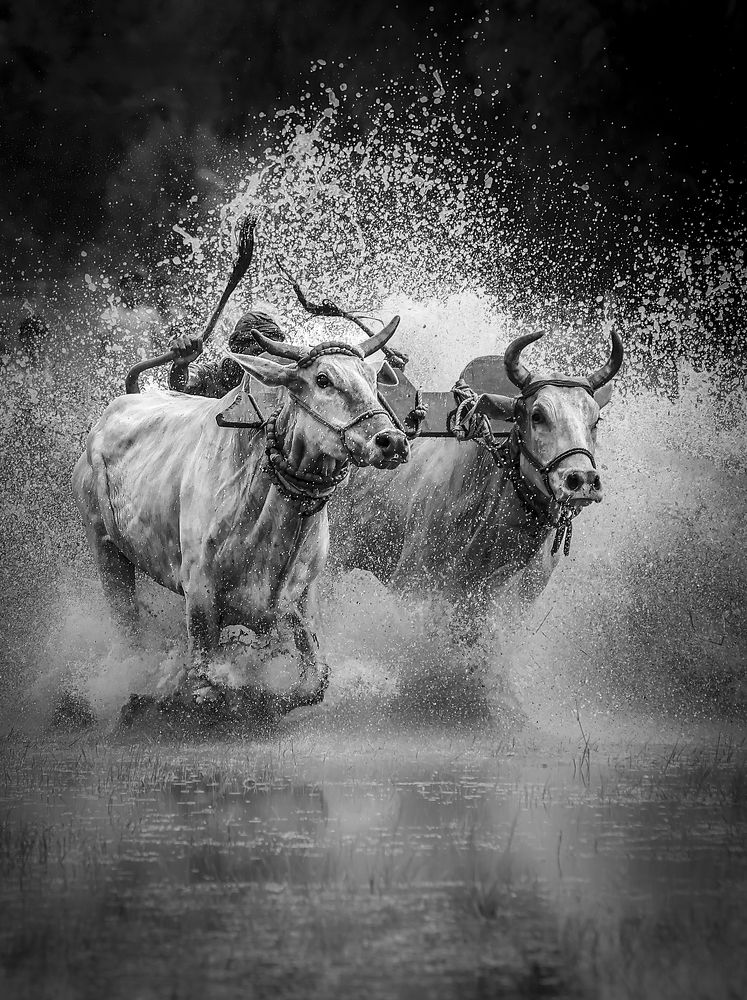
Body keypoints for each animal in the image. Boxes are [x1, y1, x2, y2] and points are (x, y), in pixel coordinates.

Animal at [72, 321, 410, 713]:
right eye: (323, 379)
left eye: (372, 379)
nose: (392, 441)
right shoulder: (199, 593)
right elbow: (207, 685)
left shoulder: (299, 598)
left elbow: (314, 683)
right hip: (104, 547)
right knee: (127, 626)